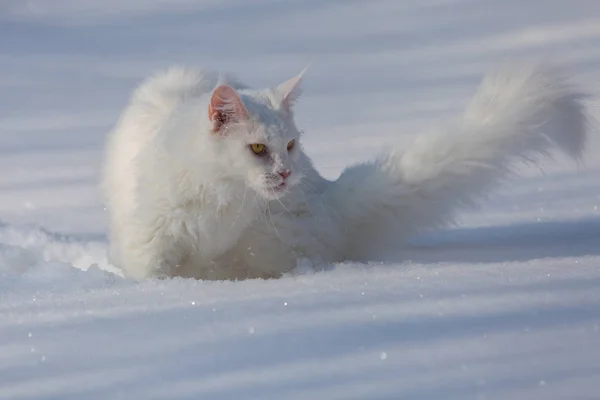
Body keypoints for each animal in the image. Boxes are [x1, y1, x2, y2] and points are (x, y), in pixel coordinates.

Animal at [102, 63, 584, 282]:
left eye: (290, 146)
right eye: (257, 149)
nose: (285, 174)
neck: (223, 201)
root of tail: (328, 197)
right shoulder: (153, 238)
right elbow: (152, 271)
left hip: (281, 241)